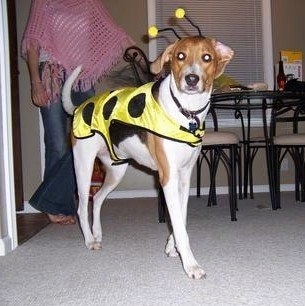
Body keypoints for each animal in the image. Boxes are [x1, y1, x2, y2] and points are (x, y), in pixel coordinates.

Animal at [61, 36, 233, 280]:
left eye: (207, 57)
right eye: (180, 56)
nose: (191, 79)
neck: (186, 110)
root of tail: (79, 108)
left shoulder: (184, 177)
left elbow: (181, 217)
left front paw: (172, 246)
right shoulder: (168, 177)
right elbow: (179, 224)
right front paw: (190, 264)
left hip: (115, 171)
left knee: (98, 199)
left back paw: (97, 234)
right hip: (83, 168)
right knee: (82, 206)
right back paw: (89, 240)